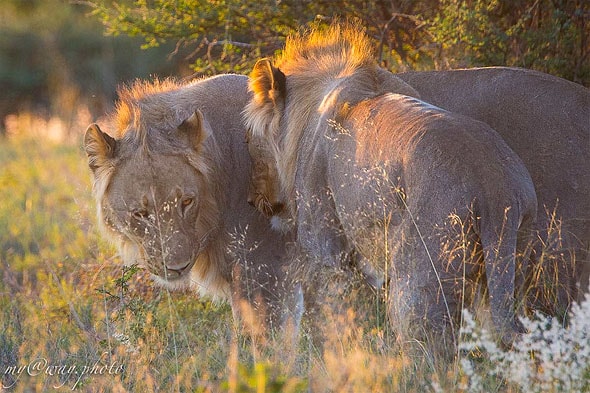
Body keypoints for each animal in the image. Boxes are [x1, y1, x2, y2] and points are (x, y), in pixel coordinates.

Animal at [243, 23, 540, 346]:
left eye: (247, 139)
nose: (251, 200)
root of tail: (493, 186)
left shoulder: (324, 242)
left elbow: (333, 311)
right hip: (510, 265)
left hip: (417, 270)